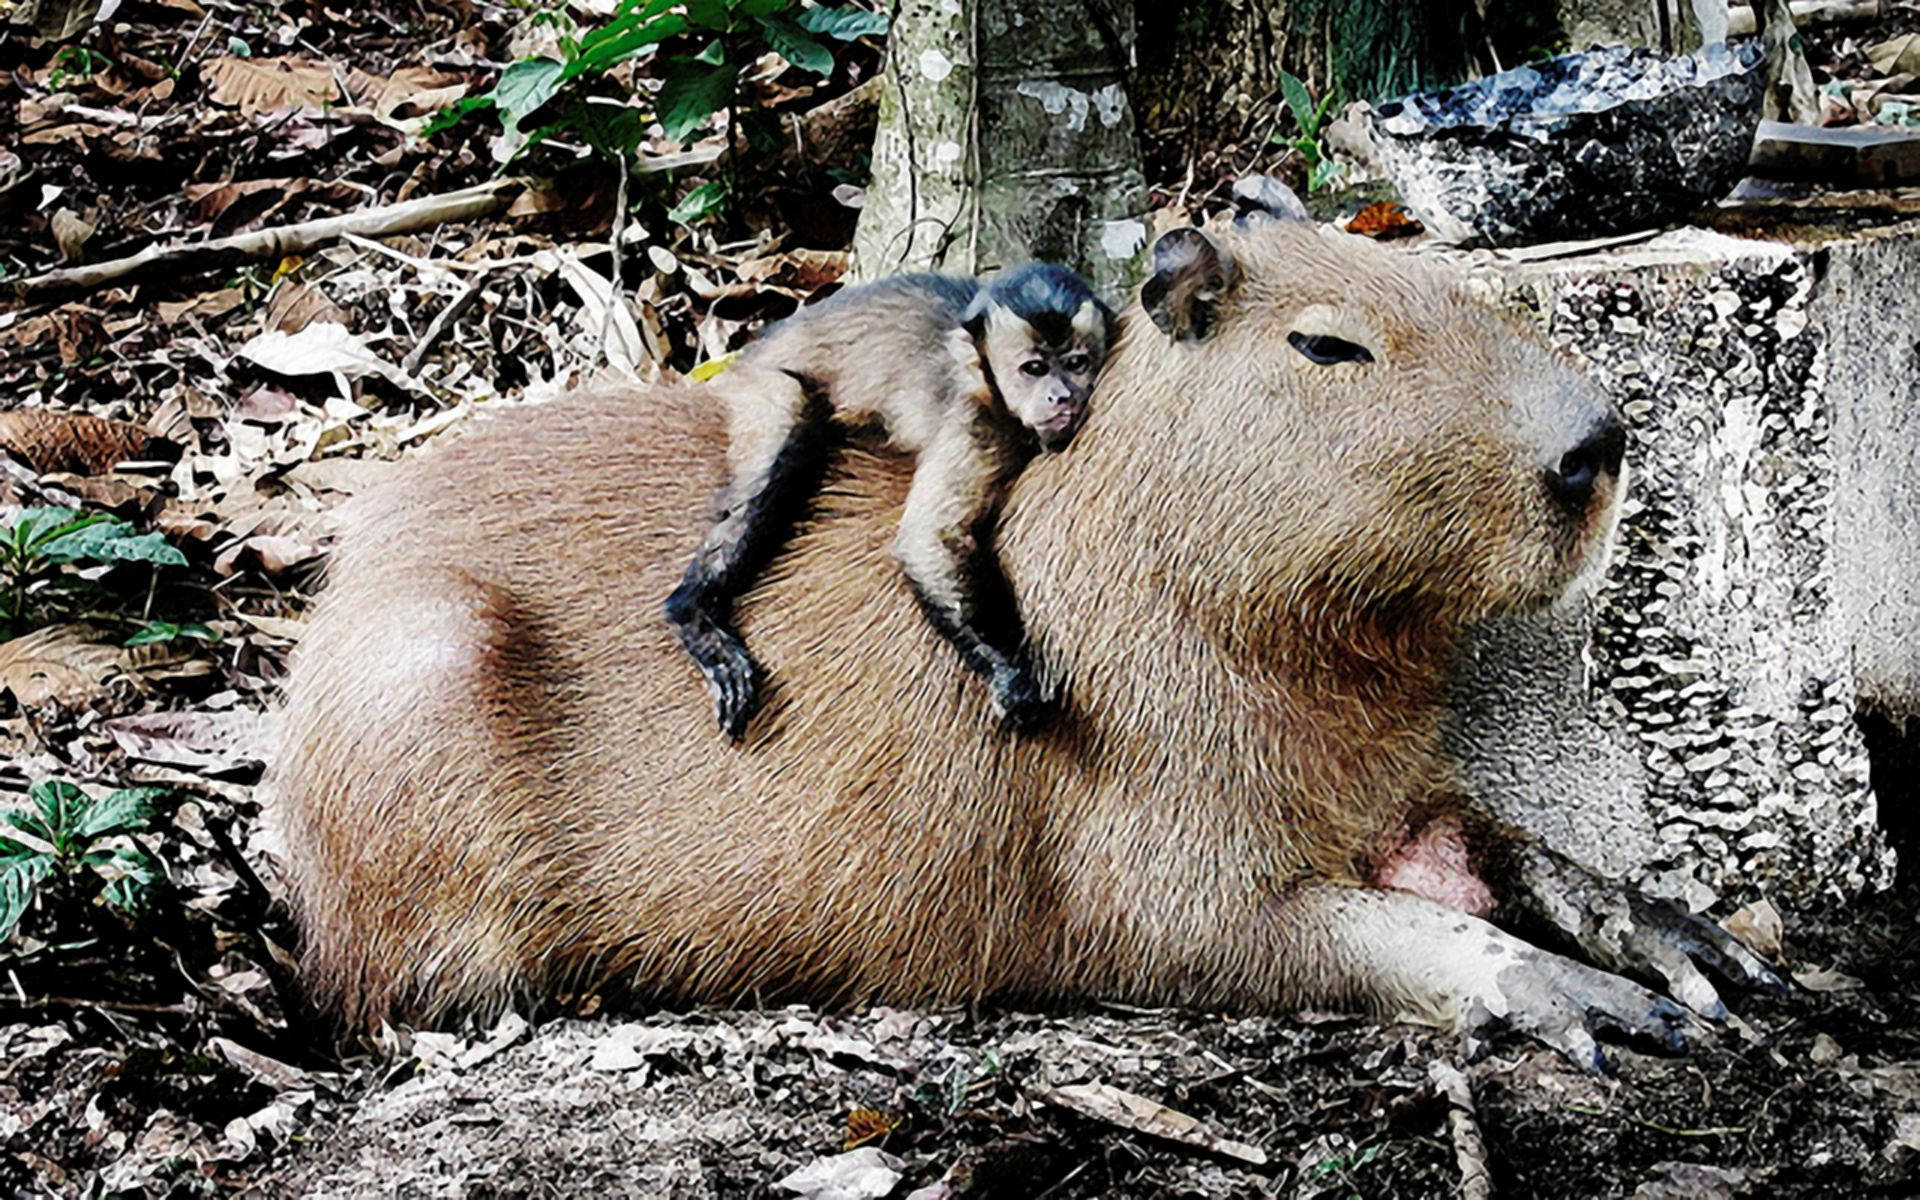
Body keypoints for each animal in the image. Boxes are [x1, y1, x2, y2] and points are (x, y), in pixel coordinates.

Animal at [663, 263, 1116, 741]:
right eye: (1034, 368)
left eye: (1076, 364)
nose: (1060, 396)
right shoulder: (976, 420)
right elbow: (929, 539)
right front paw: (1009, 674)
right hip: (767, 386)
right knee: (782, 460)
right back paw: (692, 611)